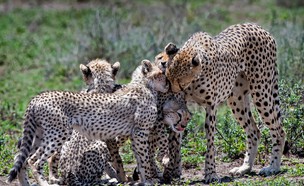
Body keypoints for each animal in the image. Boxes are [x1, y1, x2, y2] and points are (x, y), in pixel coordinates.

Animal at [7, 59, 173, 185]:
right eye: (161, 73)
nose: (168, 84)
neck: (144, 85)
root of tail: (37, 97)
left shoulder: (134, 134)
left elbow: (140, 159)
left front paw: (144, 180)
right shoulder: (139, 132)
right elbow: (143, 159)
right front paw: (149, 180)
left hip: (40, 134)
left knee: (22, 159)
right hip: (60, 134)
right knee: (33, 161)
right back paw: (46, 183)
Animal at [164, 22, 284, 182]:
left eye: (179, 82)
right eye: (167, 78)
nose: (172, 93)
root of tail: (256, 25)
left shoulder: (211, 106)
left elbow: (210, 142)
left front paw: (210, 173)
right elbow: (175, 140)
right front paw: (173, 172)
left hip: (261, 92)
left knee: (278, 130)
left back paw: (273, 167)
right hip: (236, 100)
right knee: (254, 131)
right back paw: (245, 168)